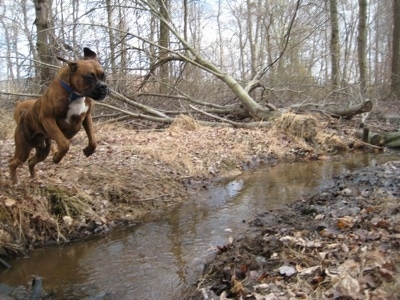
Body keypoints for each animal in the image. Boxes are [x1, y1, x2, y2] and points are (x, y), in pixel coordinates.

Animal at [9, 47, 108, 183]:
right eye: (89, 77)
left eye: (104, 75)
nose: (104, 87)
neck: (75, 94)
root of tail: (23, 114)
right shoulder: (47, 119)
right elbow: (65, 144)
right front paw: (57, 158)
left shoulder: (87, 117)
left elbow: (93, 140)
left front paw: (88, 151)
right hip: (23, 149)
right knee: (13, 163)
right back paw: (13, 181)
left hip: (43, 150)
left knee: (31, 161)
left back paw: (34, 177)